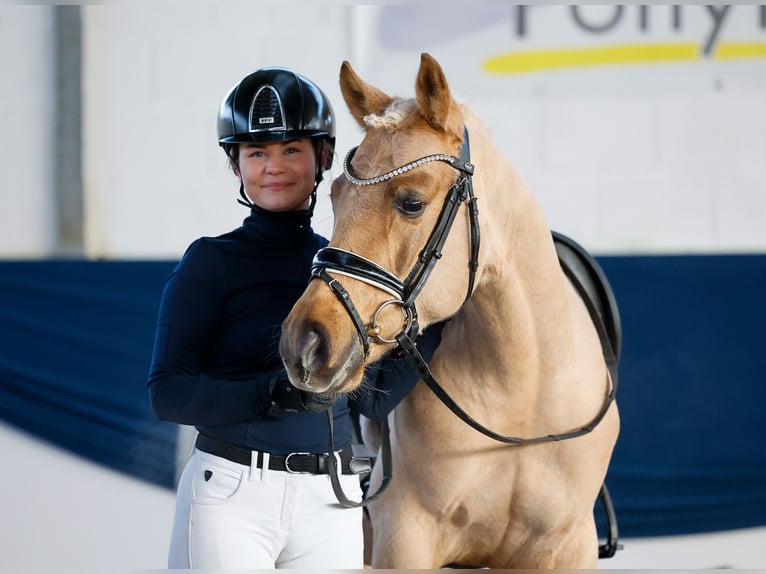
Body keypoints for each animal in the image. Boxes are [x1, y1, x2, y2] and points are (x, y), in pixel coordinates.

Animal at [280, 54, 620, 572]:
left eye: (412, 203)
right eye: (334, 195)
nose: (306, 344)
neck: (523, 397)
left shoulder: (568, 546)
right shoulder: (406, 535)